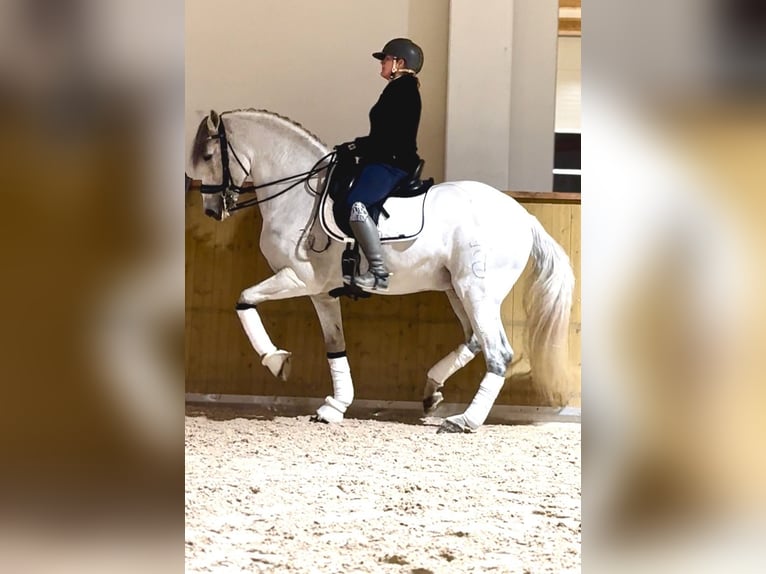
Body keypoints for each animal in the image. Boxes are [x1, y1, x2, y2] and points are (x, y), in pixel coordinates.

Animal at [187, 108, 575, 433]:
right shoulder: (321, 292)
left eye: (208, 156)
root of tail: (523, 216)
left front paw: (276, 360)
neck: (298, 195)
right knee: (474, 340)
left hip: (476, 292)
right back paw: (432, 391)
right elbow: (335, 347)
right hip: (457, 289)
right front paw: (334, 407)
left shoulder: (299, 279)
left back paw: (464, 420)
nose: (211, 210)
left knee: (498, 353)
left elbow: (244, 299)